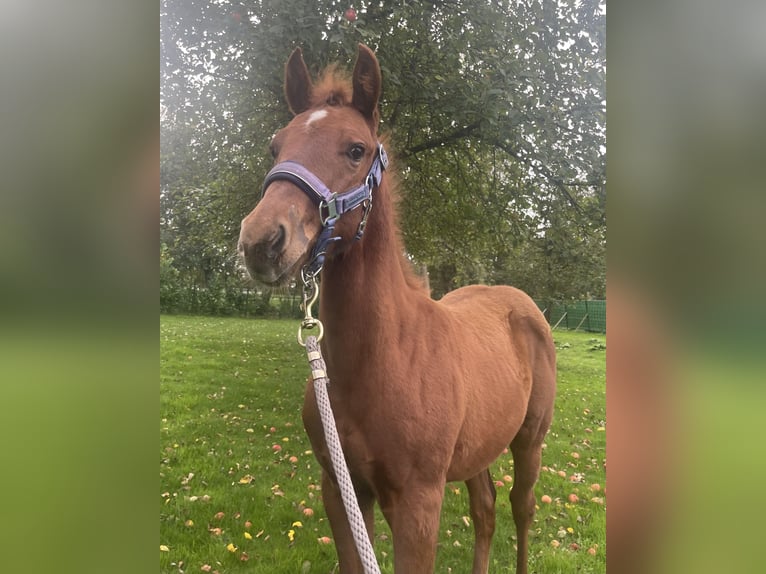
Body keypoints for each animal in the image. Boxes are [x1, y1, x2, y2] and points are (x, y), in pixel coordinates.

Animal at [240, 44, 560, 574]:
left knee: (521, 508)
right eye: (274, 147)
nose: (261, 242)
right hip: (477, 448)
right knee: (485, 508)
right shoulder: (341, 491)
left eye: (356, 149)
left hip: (530, 441)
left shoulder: (418, 503)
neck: (384, 358)